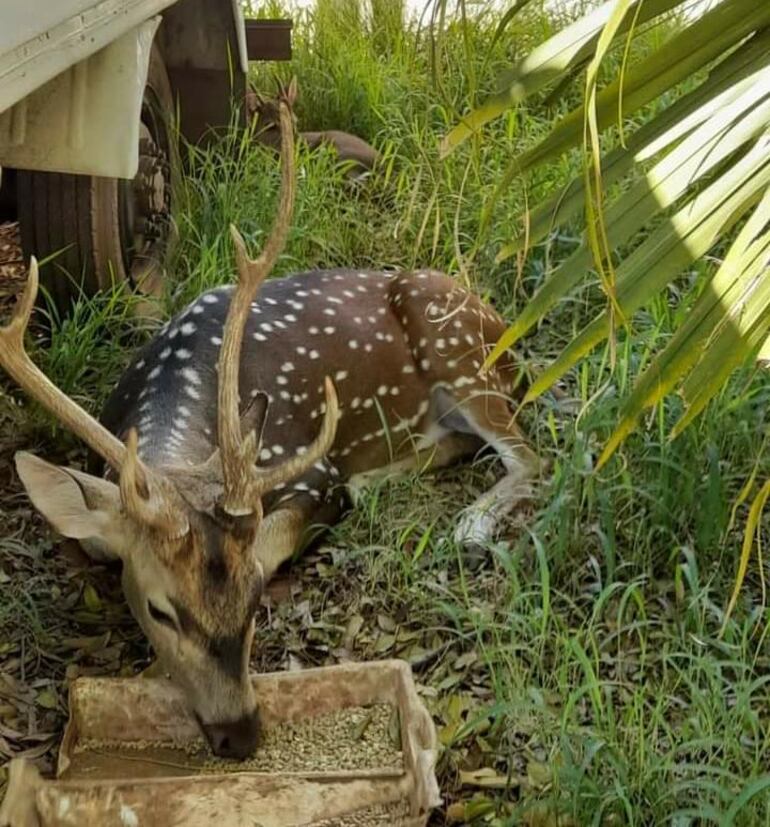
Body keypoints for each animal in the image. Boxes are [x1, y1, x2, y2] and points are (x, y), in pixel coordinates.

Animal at [0, 87, 540, 760]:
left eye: (258, 598)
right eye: (160, 610)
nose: (240, 734)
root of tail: (506, 330)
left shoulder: (312, 469)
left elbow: (278, 534)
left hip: (460, 351)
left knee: (532, 456)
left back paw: (468, 525)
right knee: (463, 442)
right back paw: (382, 482)